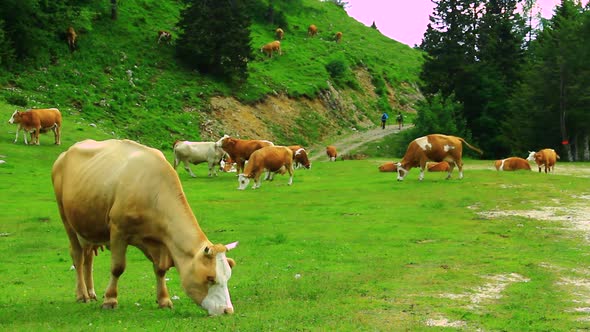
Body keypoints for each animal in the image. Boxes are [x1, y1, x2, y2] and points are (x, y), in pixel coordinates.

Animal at [52, 139, 239, 316]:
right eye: (210, 278)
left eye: (228, 277)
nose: (227, 310)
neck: (153, 191)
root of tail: (65, 154)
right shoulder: (118, 231)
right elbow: (117, 267)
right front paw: (110, 300)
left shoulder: (160, 243)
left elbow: (160, 270)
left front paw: (164, 300)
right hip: (66, 218)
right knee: (78, 256)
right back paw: (82, 295)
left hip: (88, 224)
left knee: (88, 258)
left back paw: (91, 293)